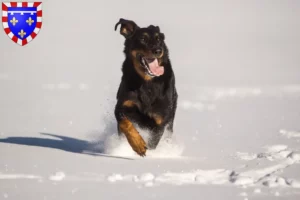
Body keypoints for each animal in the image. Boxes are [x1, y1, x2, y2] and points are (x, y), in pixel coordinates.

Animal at [113, 18, 177, 156]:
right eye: (143, 38)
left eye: (159, 39)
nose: (158, 50)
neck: (146, 83)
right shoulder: (121, 106)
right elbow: (125, 124)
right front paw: (138, 145)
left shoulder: (160, 121)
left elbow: (153, 142)